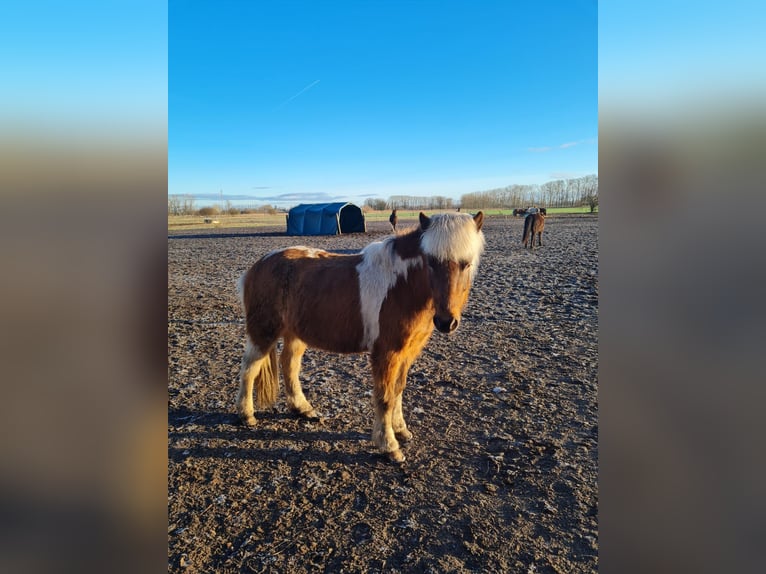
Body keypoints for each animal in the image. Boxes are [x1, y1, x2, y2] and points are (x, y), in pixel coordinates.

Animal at [236, 212, 486, 464]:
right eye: (431, 262)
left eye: (467, 264)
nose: (446, 322)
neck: (401, 285)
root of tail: (258, 266)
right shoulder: (386, 353)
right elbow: (385, 398)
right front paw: (389, 446)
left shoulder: (407, 352)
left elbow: (398, 390)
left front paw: (401, 430)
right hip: (263, 331)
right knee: (249, 368)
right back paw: (246, 415)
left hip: (295, 335)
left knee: (289, 365)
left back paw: (303, 409)